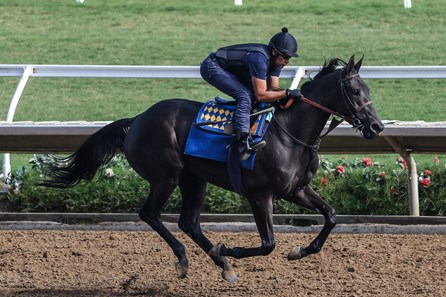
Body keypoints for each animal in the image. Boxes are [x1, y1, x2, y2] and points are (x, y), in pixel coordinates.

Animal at [40, 55, 386, 282]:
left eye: (369, 90)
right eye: (355, 91)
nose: (376, 126)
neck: (291, 134)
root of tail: (137, 119)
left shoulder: (296, 189)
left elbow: (331, 215)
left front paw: (300, 250)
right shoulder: (260, 195)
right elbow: (268, 244)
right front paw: (231, 249)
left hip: (194, 179)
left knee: (189, 222)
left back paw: (221, 263)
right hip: (166, 176)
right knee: (151, 214)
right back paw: (189, 258)